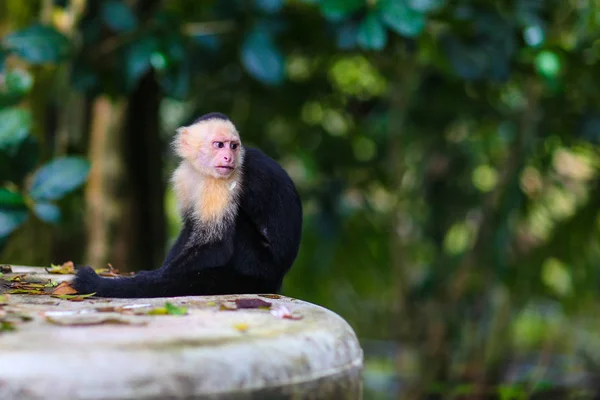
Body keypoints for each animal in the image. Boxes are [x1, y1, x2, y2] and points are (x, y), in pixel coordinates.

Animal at [72, 111, 302, 296]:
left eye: (234, 146)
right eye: (219, 145)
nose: (228, 157)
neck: (202, 172)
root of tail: (277, 277)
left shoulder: (223, 182)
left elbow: (215, 244)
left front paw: (155, 277)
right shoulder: (183, 176)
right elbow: (190, 227)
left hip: (259, 263)